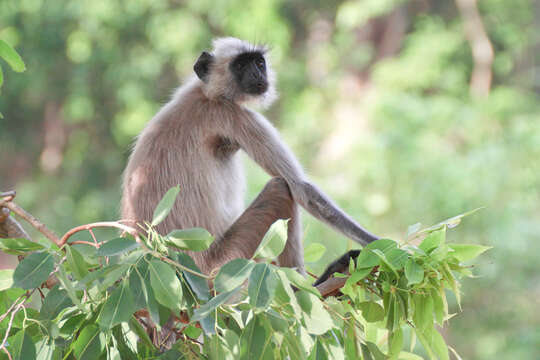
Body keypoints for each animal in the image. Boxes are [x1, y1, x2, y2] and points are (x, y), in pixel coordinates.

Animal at [121, 38, 378, 282]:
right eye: (241, 66)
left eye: (258, 62)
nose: (258, 75)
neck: (207, 94)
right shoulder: (231, 114)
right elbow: (302, 189)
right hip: (227, 263)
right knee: (280, 188)